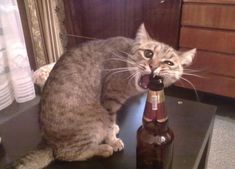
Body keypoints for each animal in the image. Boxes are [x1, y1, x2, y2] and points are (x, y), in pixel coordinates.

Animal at [8, 23, 196, 169]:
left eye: (169, 63)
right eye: (148, 53)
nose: (153, 66)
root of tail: (46, 143)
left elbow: (111, 124)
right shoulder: (110, 101)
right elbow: (109, 124)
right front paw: (112, 140)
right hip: (92, 123)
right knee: (66, 154)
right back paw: (102, 149)